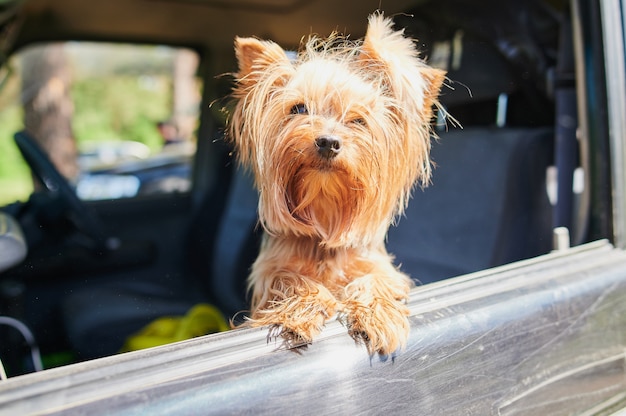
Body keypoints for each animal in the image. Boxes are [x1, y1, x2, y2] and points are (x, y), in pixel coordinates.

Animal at [227, 12, 446, 354]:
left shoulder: (379, 266)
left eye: (358, 121)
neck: (324, 214)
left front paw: (380, 314)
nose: (328, 142)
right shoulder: (269, 274)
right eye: (298, 108)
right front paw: (302, 310)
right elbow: (288, 278)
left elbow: (378, 280)